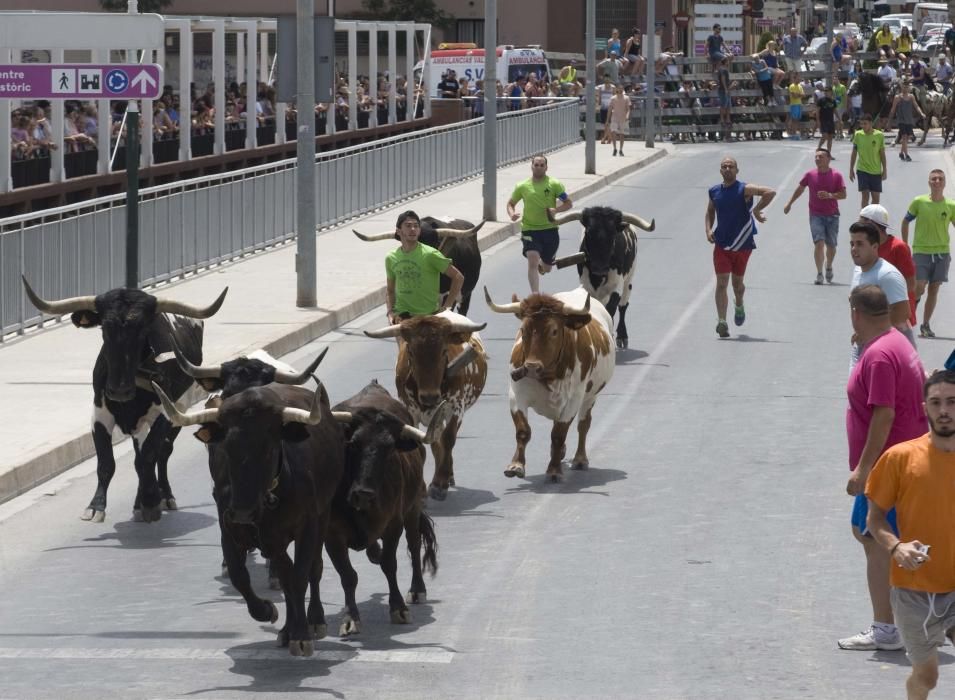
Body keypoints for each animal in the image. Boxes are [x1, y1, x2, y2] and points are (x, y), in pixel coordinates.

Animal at [20, 276, 230, 524]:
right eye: (104, 328)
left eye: (142, 329)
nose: (118, 390)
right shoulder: (99, 414)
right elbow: (106, 462)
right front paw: (96, 506)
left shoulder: (165, 413)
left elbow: (148, 457)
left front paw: (151, 501)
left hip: (181, 407)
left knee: (162, 452)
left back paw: (164, 496)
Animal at [157, 380, 348, 660]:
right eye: (227, 448)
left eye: (268, 448)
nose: (243, 512)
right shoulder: (229, 529)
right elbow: (241, 577)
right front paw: (268, 611)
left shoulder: (309, 526)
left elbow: (302, 575)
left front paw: (302, 635)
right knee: (285, 575)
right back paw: (286, 630)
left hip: (322, 517)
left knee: (313, 568)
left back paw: (314, 620)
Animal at [362, 314, 490, 504]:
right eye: (411, 352)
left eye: (444, 351)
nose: (429, 396)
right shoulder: (410, 410)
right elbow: (420, 442)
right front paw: (421, 488)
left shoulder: (456, 408)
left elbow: (448, 439)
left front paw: (439, 484)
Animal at [482, 288, 616, 484]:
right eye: (523, 329)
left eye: (554, 331)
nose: (531, 367)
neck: (549, 375)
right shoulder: (516, 395)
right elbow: (523, 431)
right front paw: (516, 465)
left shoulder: (572, 402)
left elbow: (558, 434)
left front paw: (554, 470)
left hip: (590, 397)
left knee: (583, 425)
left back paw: (580, 459)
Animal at [548, 208, 652, 350]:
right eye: (588, 232)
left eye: (613, 234)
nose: (599, 268)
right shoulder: (586, 286)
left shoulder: (616, 287)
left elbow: (611, 309)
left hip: (629, 280)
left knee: (623, 306)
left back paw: (622, 336)